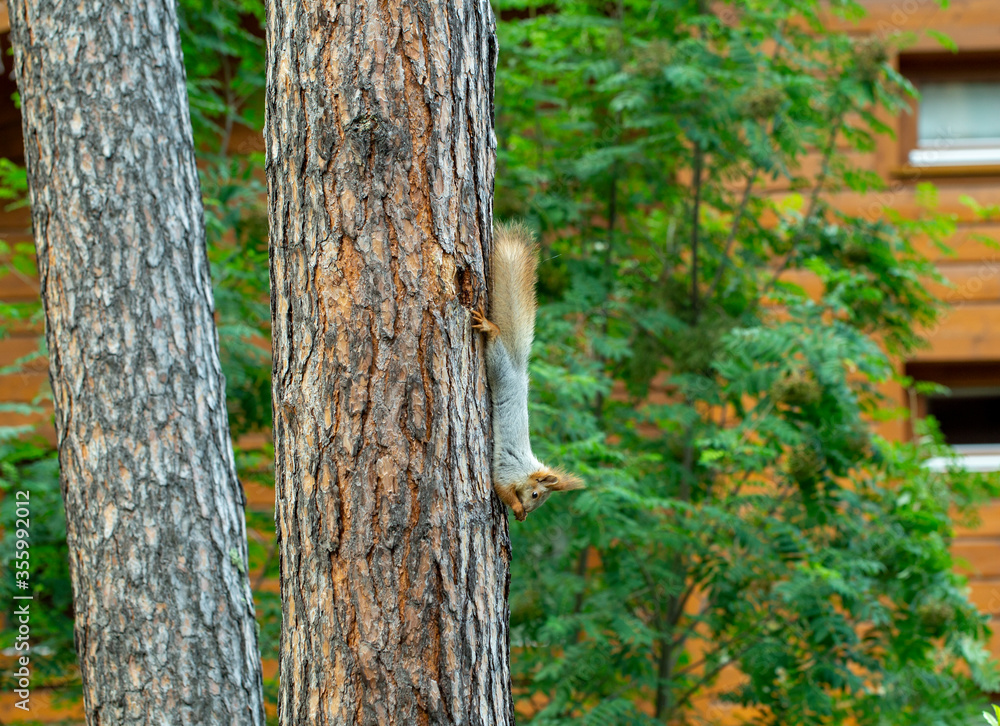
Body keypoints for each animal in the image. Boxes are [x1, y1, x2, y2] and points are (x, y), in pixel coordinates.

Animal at [472, 222, 584, 521]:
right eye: (535, 494)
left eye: (541, 500)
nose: (527, 515)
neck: (527, 468)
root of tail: (519, 369)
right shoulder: (506, 471)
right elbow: (503, 490)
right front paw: (517, 508)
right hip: (499, 366)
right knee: (496, 341)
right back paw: (489, 327)